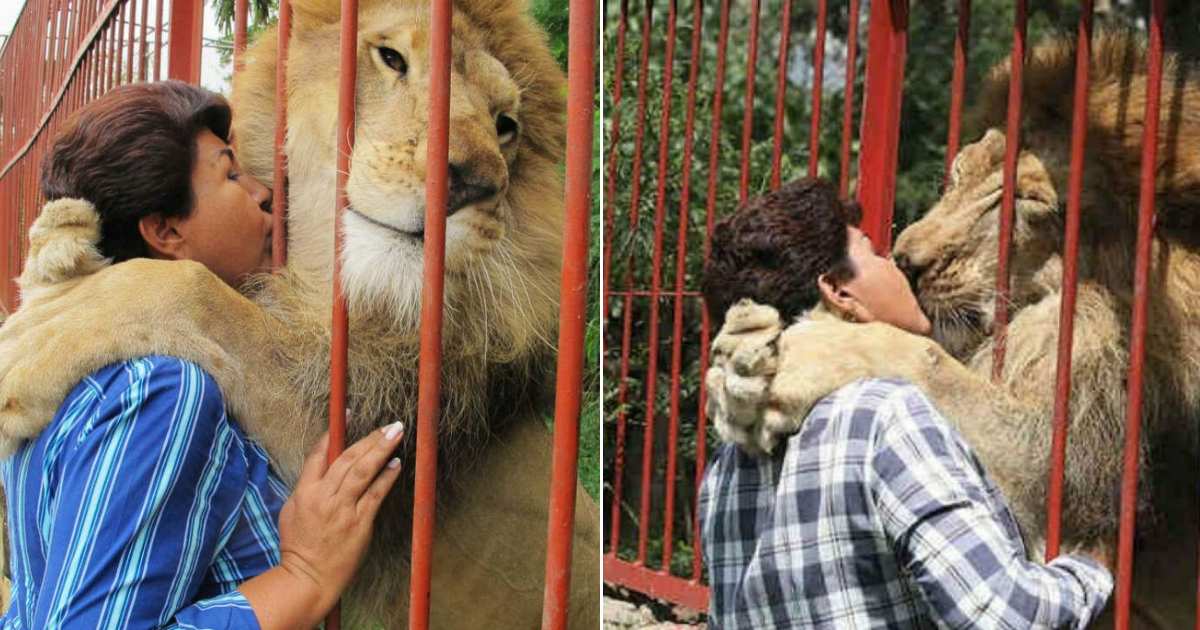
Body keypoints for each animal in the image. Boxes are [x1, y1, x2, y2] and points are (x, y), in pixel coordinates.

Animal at [0, 0, 600, 624]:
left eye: (506, 126)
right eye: (392, 58)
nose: (474, 184)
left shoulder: (355, 422)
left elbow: (204, 296)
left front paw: (37, 331)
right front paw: (57, 239)